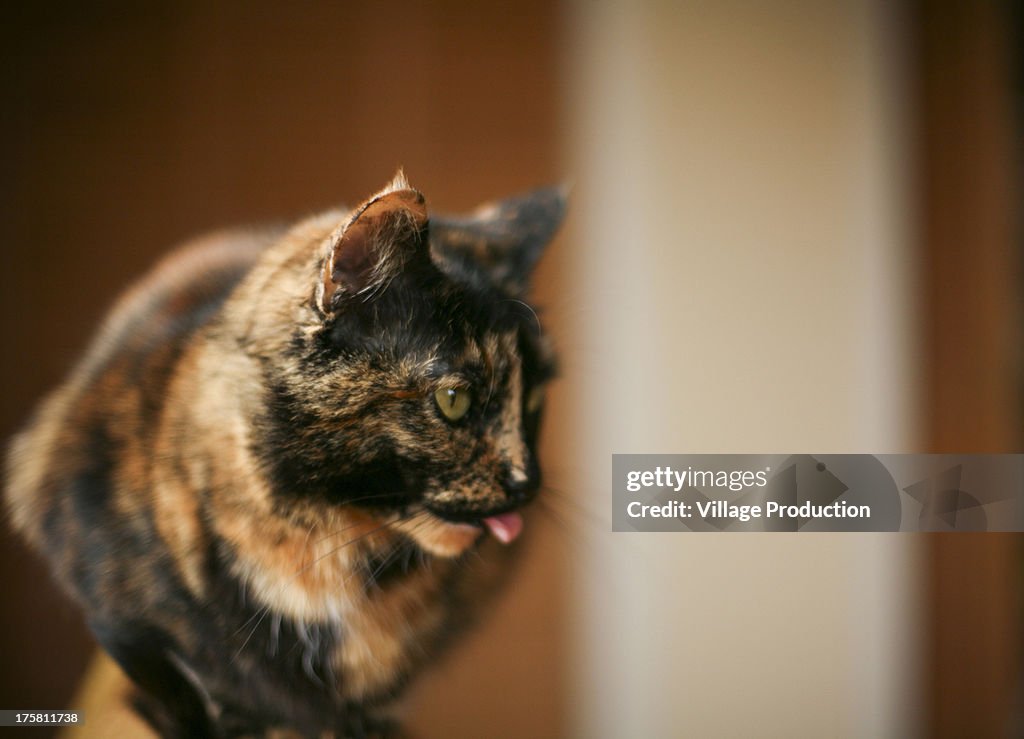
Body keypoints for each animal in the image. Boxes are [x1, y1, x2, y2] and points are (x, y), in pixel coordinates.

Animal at [4, 172, 565, 736]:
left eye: (534, 398)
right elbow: (187, 681)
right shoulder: (108, 592)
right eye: (454, 400)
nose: (528, 482)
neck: (323, 547)